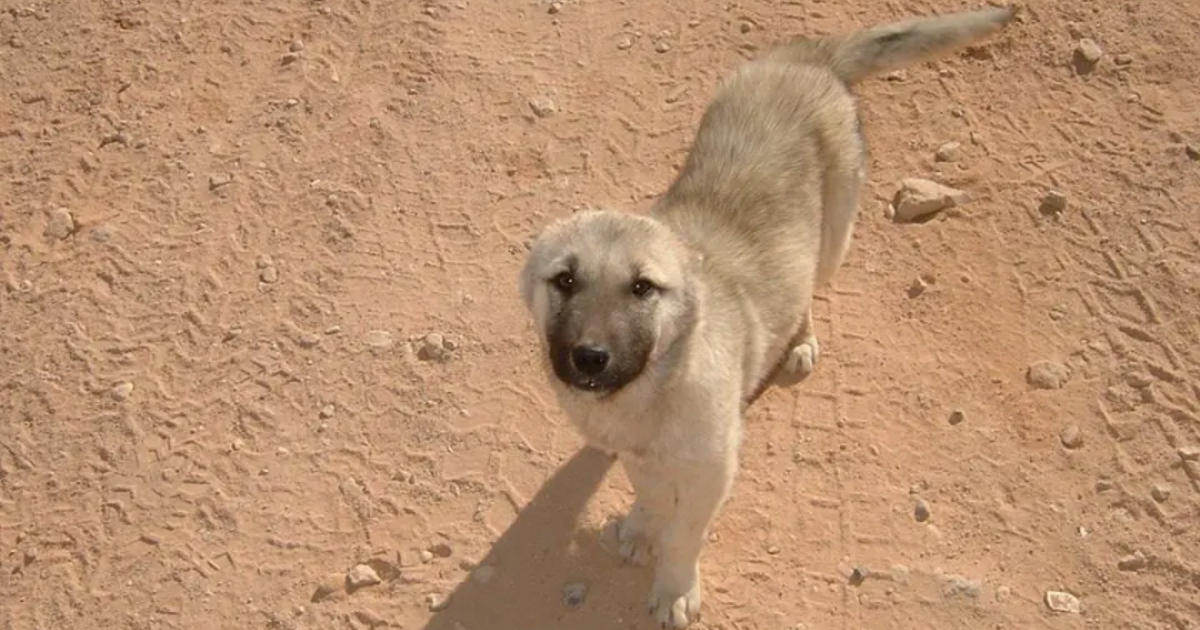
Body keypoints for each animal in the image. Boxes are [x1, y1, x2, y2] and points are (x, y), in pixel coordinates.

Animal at [520, 7, 1017, 624]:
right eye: (564, 280)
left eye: (642, 288)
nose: (589, 358)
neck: (655, 384)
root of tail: (804, 57)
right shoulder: (642, 454)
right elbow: (652, 495)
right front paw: (641, 526)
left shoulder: (713, 469)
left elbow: (684, 533)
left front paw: (675, 587)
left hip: (833, 239)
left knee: (806, 289)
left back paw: (799, 342)